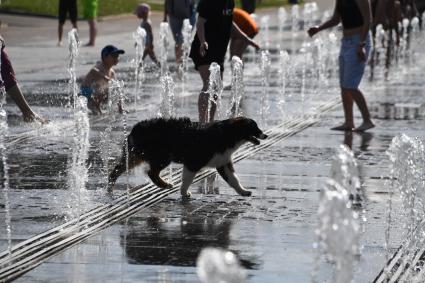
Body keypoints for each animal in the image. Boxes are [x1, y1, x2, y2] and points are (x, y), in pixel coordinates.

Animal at [109, 116, 266, 199]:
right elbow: (187, 179)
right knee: (151, 172)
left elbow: (233, 179)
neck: (228, 134)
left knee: (117, 170)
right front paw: (184, 192)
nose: (265, 135)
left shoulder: (223, 161)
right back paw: (165, 184)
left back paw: (110, 188)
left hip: (136, 155)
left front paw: (243, 191)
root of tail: (135, 128)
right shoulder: (194, 161)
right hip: (162, 156)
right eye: (254, 127)